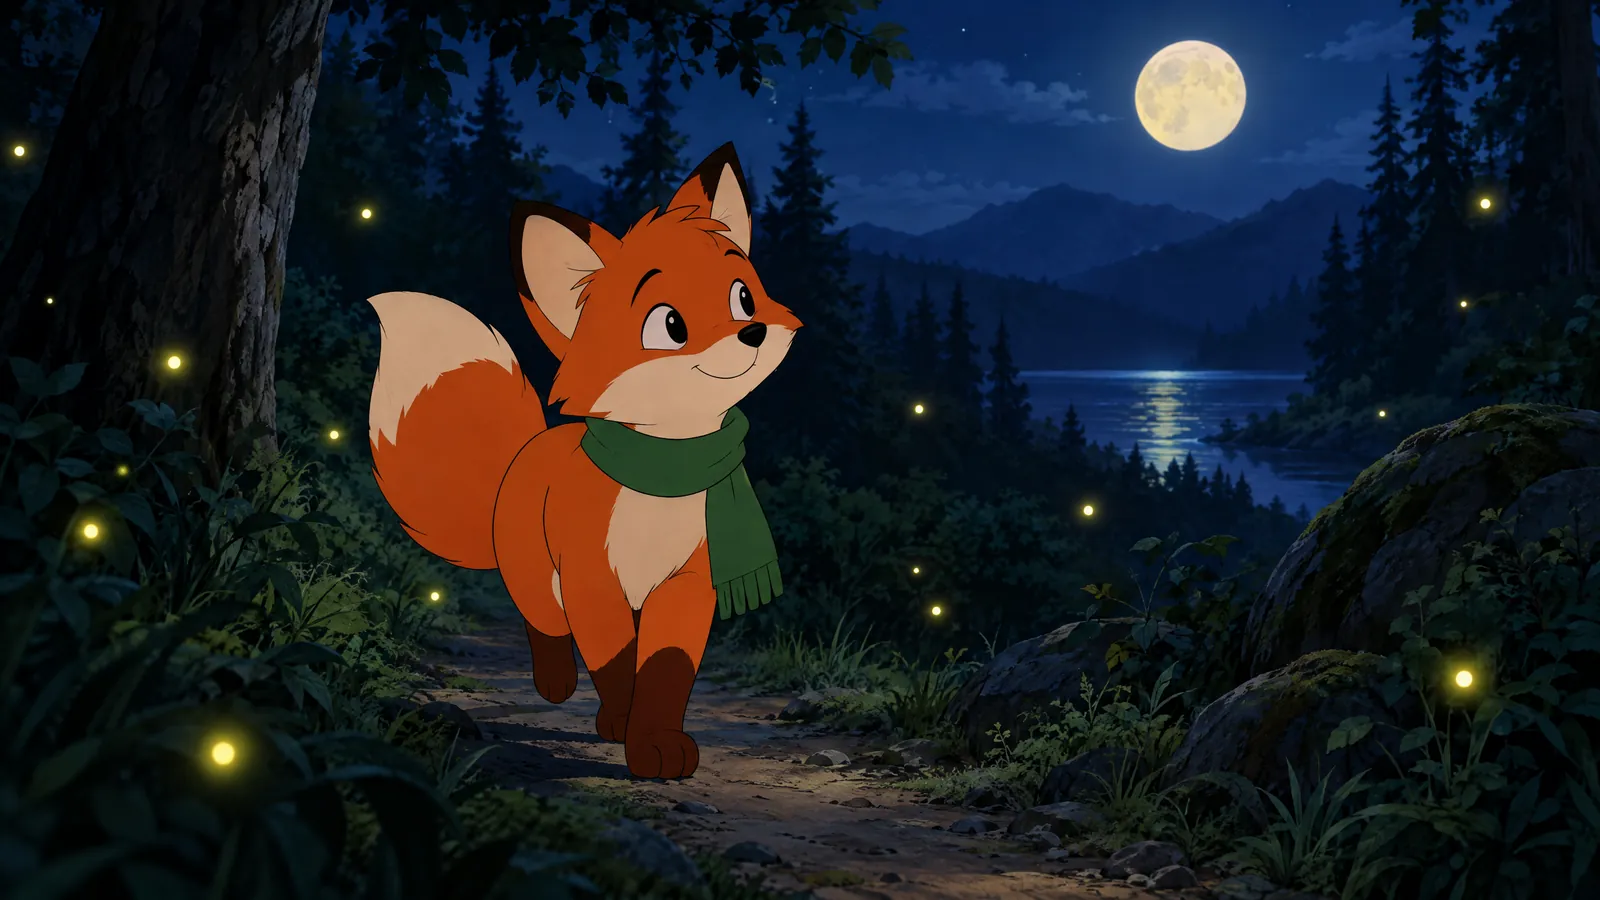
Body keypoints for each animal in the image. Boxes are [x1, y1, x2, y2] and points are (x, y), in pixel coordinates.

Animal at [365, 144, 801, 780]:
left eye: (743, 296)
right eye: (670, 325)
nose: (754, 332)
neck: (664, 473)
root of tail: (527, 449)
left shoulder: (687, 583)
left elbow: (666, 669)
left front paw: (658, 739)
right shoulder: (592, 581)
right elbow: (616, 663)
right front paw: (625, 727)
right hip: (536, 575)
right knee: (543, 622)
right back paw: (555, 684)